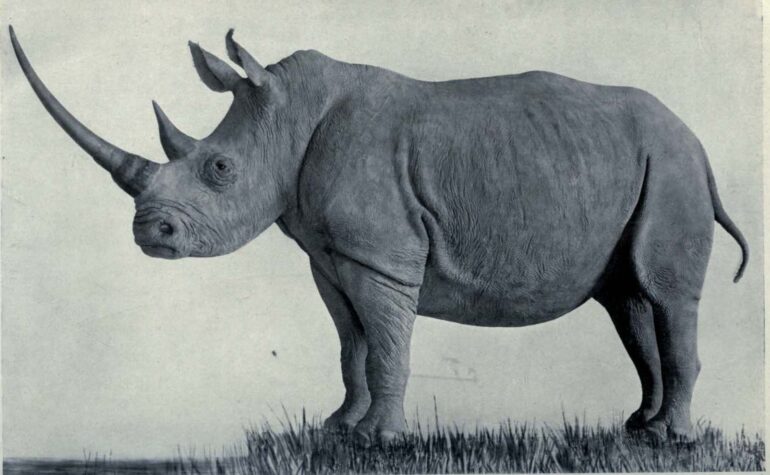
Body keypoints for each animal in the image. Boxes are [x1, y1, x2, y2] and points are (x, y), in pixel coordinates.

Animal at [10, 26, 748, 444]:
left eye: (219, 169)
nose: (149, 233)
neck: (288, 117)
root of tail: (697, 142)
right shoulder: (332, 255)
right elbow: (353, 345)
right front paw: (337, 432)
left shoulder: (380, 256)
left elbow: (388, 345)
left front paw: (381, 443)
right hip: (646, 168)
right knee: (629, 297)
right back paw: (638, 431)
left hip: (673, 168)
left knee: (665, 293)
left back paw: (675, 443)